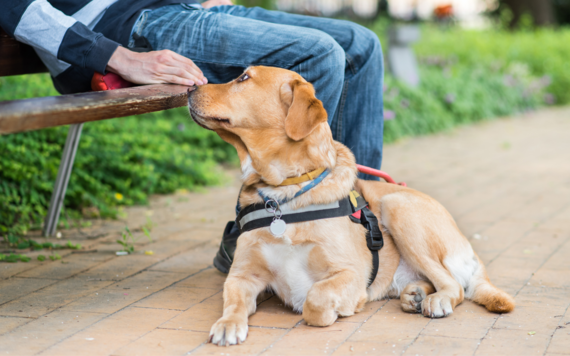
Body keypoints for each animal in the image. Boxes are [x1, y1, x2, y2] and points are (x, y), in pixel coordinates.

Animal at [187, 65, 516, 346]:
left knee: (454, 285)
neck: (284, 193)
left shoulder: (351, 272)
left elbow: (315, 301)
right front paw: (228, 324)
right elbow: (233, 301)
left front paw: (341, 308)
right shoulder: (242, 275)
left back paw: (435, 299)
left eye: (244, 78)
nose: (190, 87)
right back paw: (415, 294)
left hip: (397, 207)